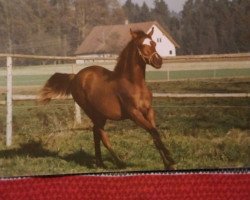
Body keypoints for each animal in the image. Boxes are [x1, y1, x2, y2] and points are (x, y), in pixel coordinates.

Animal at [39, 27, 176, 170]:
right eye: (141, 45)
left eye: (154, 43)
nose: (158, 61)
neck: (134, 84)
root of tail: (75, 76)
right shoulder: (134, 114)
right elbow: (153, 131)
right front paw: (171, 159)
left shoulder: (149, 111)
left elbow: (155, 134)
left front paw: (168, 164)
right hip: (93, 113)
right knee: (102, 135)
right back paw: (119, 163)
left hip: (101, 115)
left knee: (95, 132)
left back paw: (101, 163)